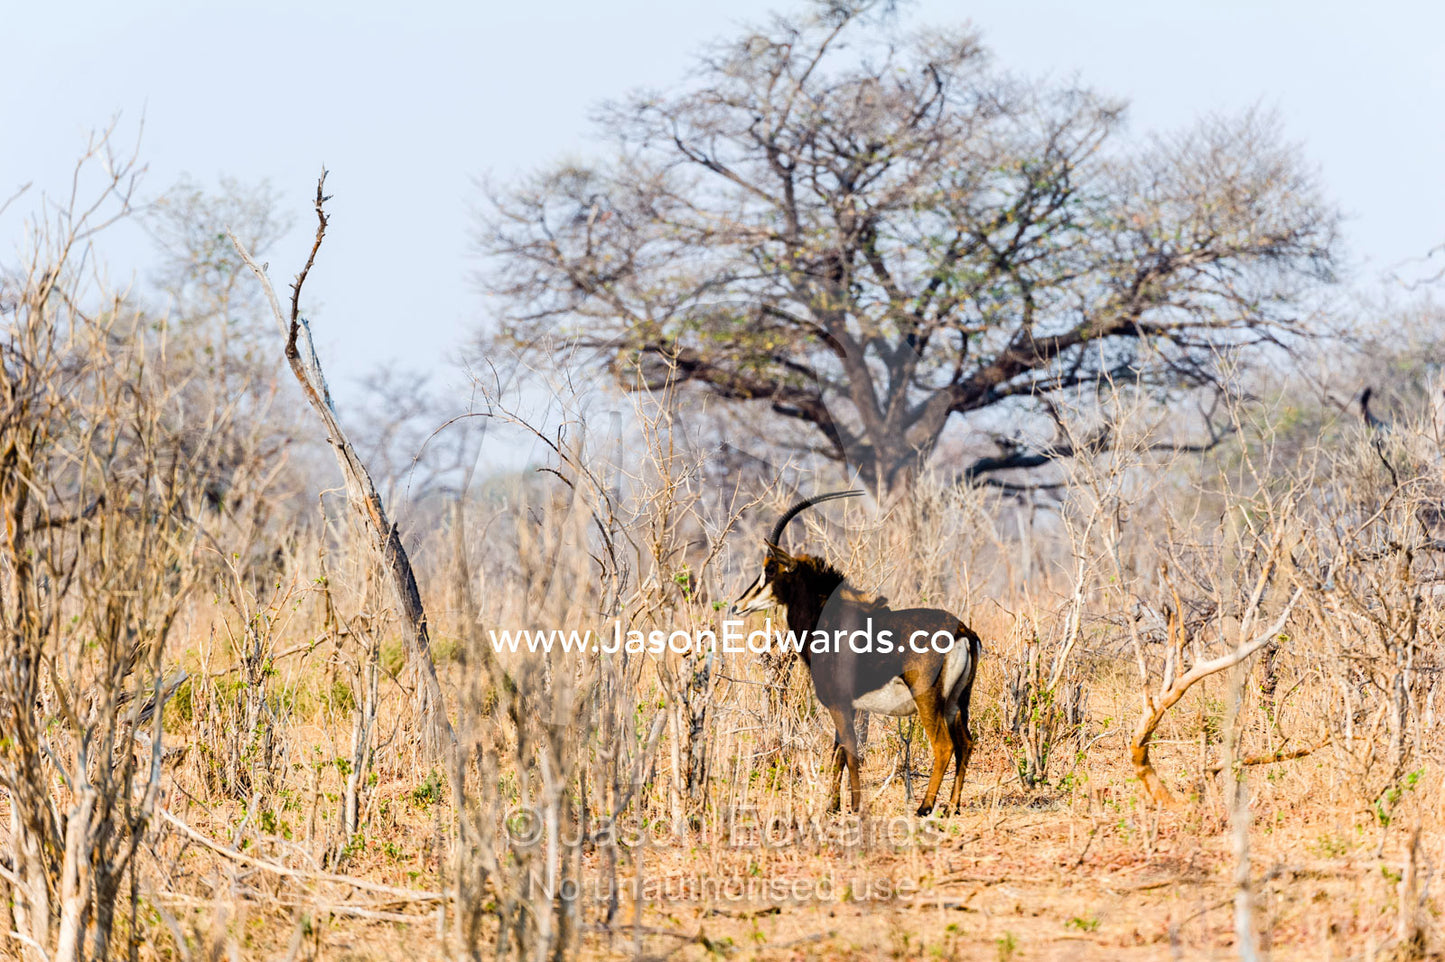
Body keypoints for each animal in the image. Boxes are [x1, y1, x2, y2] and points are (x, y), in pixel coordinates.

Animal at [732, 491, 983, 816]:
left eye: (770, 569)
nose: (737, 605)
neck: (827, 620)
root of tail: (962, 630)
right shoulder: (847, 706)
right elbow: (838, 753)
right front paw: (833, 805)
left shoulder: (838, 704)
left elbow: (849, 754)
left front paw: (855, 806)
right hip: (956, 702)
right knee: (965, 743)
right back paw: (952, 806)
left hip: (928, 699)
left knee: (944, 745)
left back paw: (924, 807)